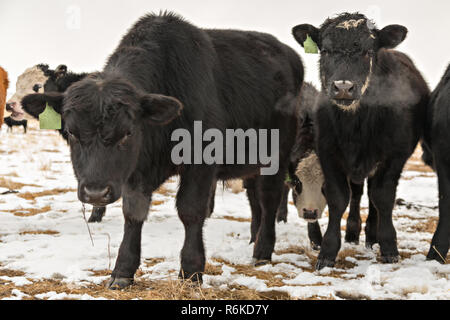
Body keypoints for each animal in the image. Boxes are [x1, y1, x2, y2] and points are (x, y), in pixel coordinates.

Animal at [21, 11, 302, 288]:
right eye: (71, 133)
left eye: (128, 132)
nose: (96, 192)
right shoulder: (134, 171)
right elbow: (133, 213)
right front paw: (123, 270)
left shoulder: (201, 163)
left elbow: (191, 210)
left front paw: (191, 270)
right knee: (255, 199)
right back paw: (253, 239)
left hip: (277, 156)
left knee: (269, 199)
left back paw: (262, 251)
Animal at [292, 12, 428, 268]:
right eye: (326, 50)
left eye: (367, 51)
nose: (343, 87)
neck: (355, 126)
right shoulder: (328, 153)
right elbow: (338, 198)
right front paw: (328, 252)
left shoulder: (394, 156)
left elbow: (383, 197)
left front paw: (389, 247)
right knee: (356, 193)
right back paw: (354, 233)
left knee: (374, 196)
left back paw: (372, 235)